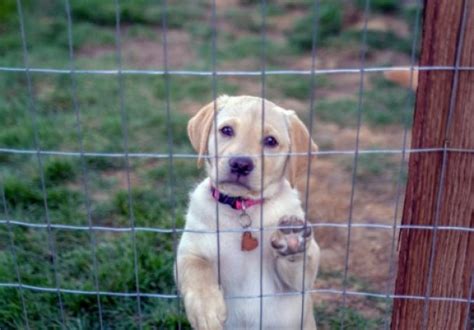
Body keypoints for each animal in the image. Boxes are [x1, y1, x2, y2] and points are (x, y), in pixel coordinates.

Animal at [176, 94, 320, 328]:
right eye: (226, 130)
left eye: (270, 141)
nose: (240, 164)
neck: (242, 207)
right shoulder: (189, 249)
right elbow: (196, 268)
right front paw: (206, 310)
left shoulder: (298, 286)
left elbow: (303, 265)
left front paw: (292, 240)